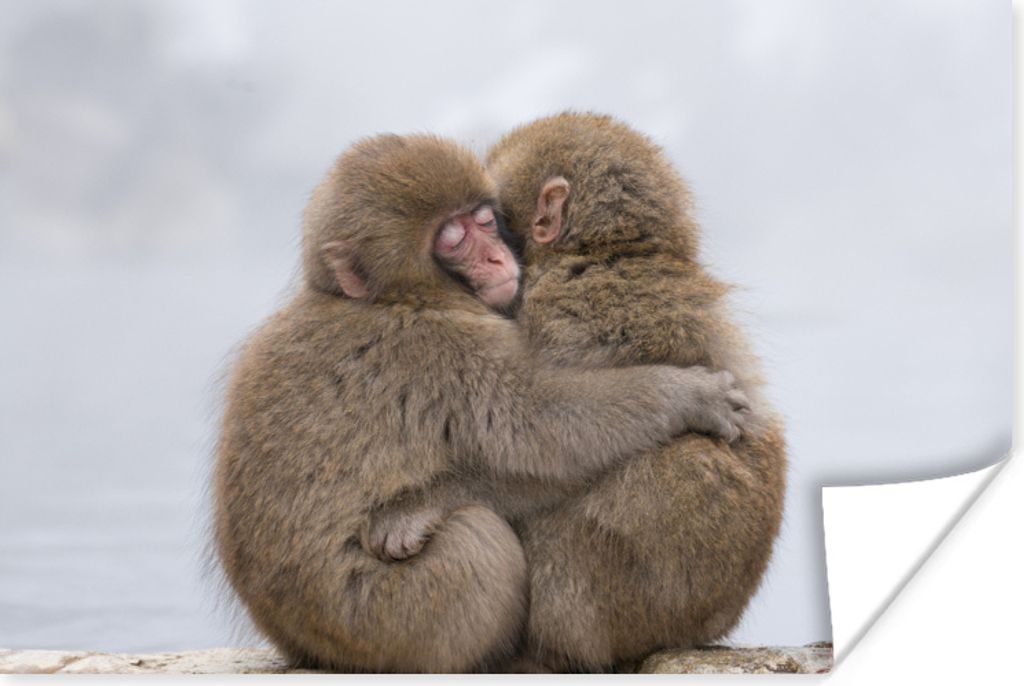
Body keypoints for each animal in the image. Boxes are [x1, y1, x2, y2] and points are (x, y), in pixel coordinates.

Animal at [213, 133, 753, 673]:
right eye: (453, 240)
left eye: (485, 220)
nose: (496, 258)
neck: (388, 297)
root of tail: (305, 646)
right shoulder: (439, 344)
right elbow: (543, 432)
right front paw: (690, 395)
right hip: (389, 621)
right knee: (478, 535)